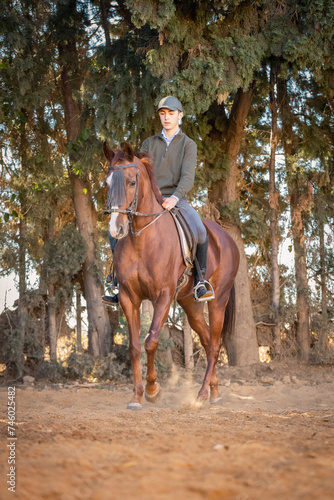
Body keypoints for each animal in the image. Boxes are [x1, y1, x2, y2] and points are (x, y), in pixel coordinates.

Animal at [103, 143, 239, 408]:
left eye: (132, 182)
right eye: (107, 182)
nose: (116, 228)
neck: (142, 239)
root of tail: (228, 238)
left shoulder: (163, 296)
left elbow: (151, 341)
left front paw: (153, 390)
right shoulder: (127, 298)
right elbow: (134, 346)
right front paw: (136, 396)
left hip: (218, 300)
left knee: (215, 344)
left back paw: (202, 395)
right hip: (190, 304)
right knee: (206, 340)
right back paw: (214, 391)